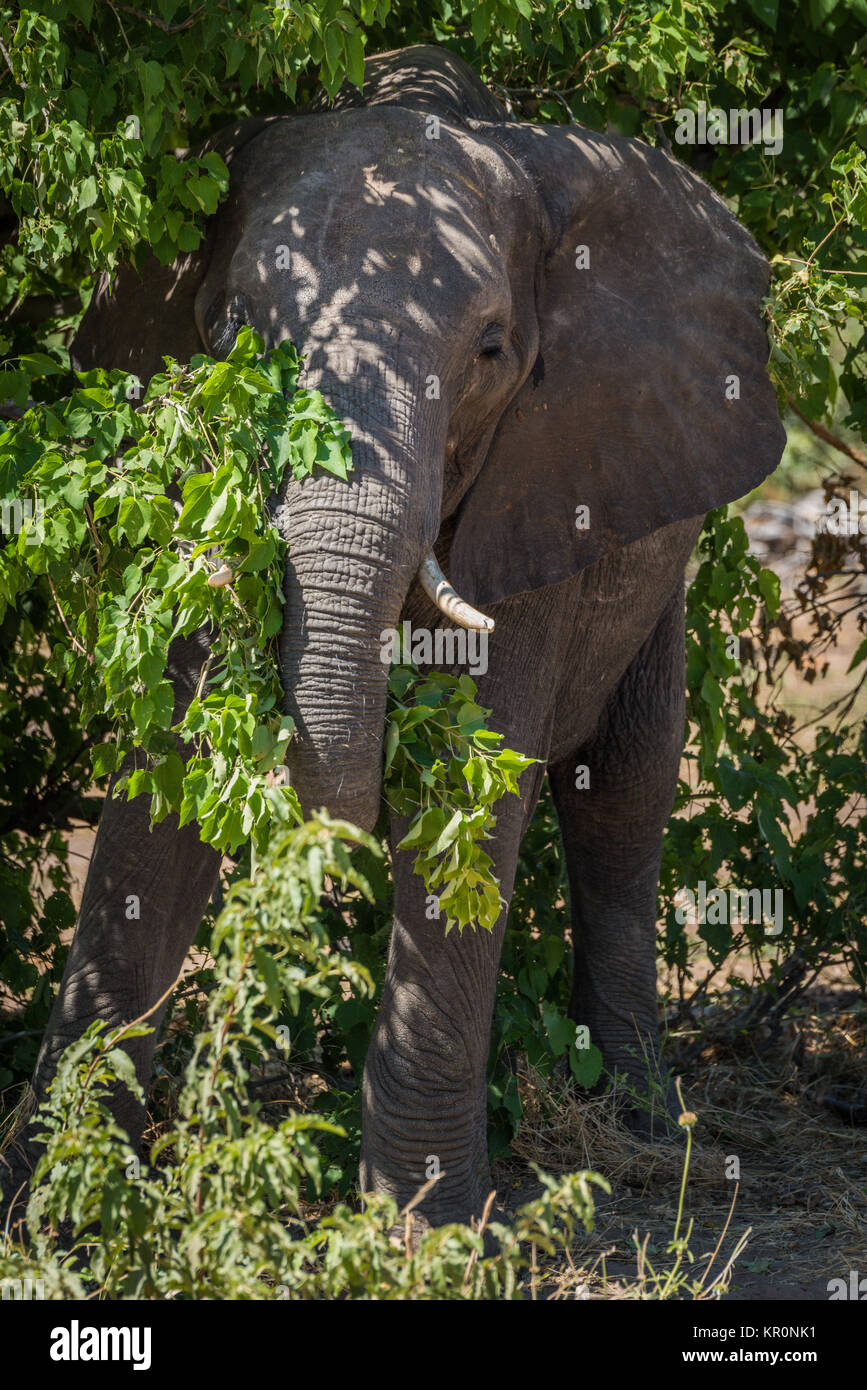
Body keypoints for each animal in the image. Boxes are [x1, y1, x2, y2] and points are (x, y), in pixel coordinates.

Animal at [2, 43, 784, 1232]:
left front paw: (428, 1233)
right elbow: (167, 776)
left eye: (494, 350)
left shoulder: (543, 482)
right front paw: (60, 1209)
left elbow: (475, 784)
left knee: (626, 784)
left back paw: (649, 1128)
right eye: (228, 332)